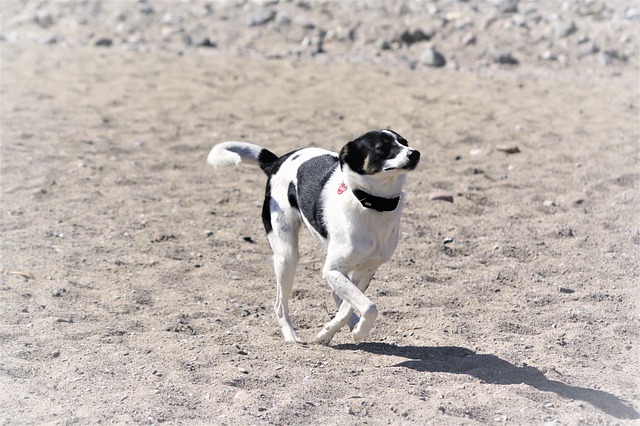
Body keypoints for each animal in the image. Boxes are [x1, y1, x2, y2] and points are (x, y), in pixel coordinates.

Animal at [208, 129, 422, 342]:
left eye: (404, 142)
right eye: (382, 148)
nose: (415, 153)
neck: (373, 204)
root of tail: (278, 162)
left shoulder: (366, 271)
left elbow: (350, 307)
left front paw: (331, 332)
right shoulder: (332, 270)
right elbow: (369, 307)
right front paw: (356, 332)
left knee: (338, 298)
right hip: (287, 256)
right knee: (280, 304)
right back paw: (291, 335)